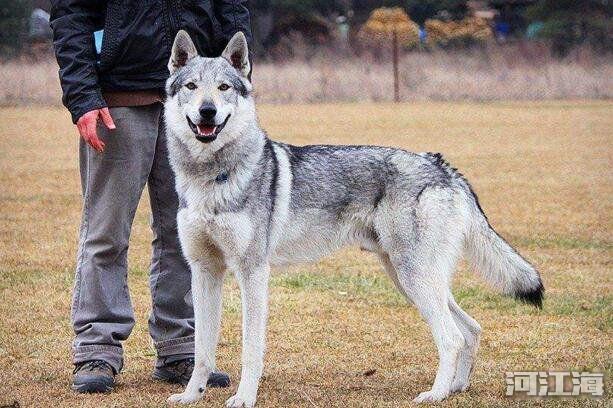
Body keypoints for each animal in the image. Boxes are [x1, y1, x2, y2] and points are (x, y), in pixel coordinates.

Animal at [164, 30, 544, 406]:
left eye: (224, 87)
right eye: (192, 86)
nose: (208, 111)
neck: (211, 178)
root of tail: (440, 165)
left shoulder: (253, 272)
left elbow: (250, 349)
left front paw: (244, 398)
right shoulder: (205, 271)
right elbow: (202, 348)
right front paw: (191, 395)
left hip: (414, 278)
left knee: (452, 337)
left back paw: (435, 394)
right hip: (412, 280)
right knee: (471, 329)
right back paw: (456, 387)